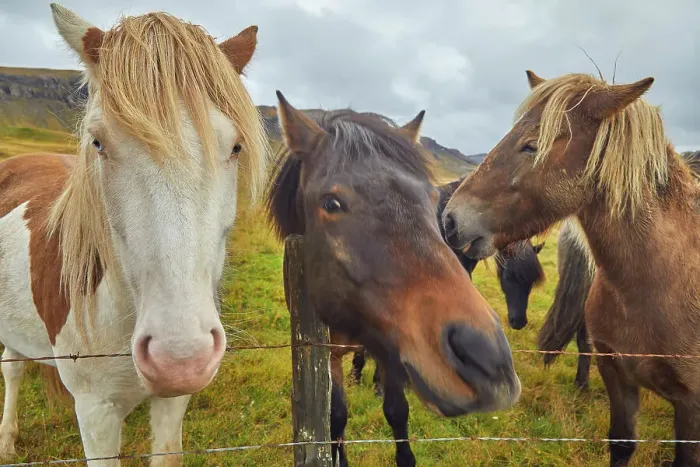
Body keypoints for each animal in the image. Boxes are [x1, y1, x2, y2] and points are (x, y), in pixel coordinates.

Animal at [0, 4, 268, 465]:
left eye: (235, 147)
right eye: (97, 142)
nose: (180, 357)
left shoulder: (173, 404)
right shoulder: (96, 412)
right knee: (11, 369)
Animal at [265, 96, 521, 467]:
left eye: (432, 199)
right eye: (331, 203)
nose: (488, 361)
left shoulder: (391, 346)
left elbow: (397, 411)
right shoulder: (328, 354)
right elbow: (336, 416)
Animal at [443, 69, 700, 466]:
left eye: (532, 145)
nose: (450, 219)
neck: (662, 280)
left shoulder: (691, 407)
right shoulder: (617, 377)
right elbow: (620, 444)